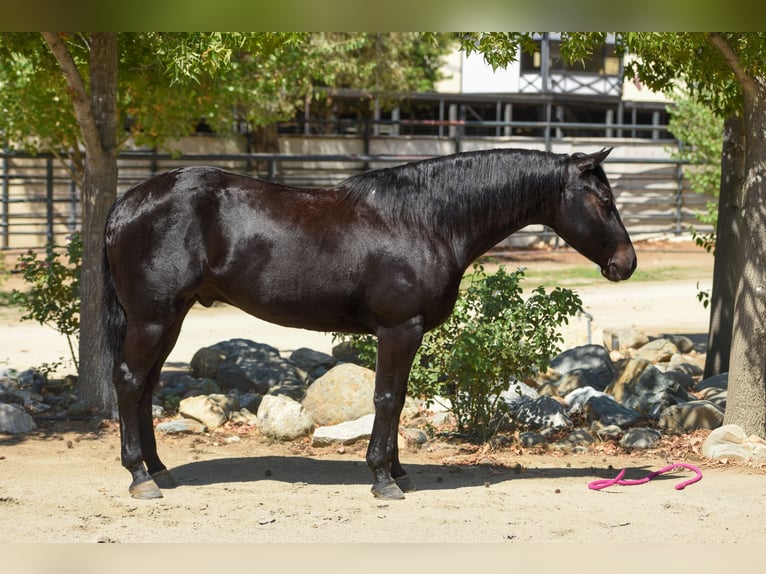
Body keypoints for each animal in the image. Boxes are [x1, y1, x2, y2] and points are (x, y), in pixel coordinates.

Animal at [102, 146, 636, 500]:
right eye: (604, 202)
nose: (626, 264)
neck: (424, 219)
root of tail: (128, 202)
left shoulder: (408, 332)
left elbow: (397, 402)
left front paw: (397, 471)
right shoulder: (399, 329)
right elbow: (387, 398)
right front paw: (382, 478)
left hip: (170, 318)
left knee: (146, 388)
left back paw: (159, 469)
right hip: (152, 319)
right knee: (129, 383)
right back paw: (140, 477)